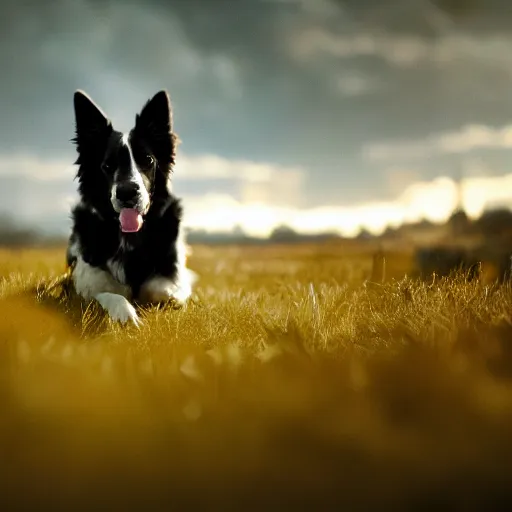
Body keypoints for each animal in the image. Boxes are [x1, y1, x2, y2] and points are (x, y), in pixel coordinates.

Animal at [67, 90, 195, 326]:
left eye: (148, 160)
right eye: (107, 165)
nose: (127, 192)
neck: (130, 237)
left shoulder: (173, 276)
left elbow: (164, 291)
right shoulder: (83, 282)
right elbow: (110, 294)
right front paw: (126, 314)